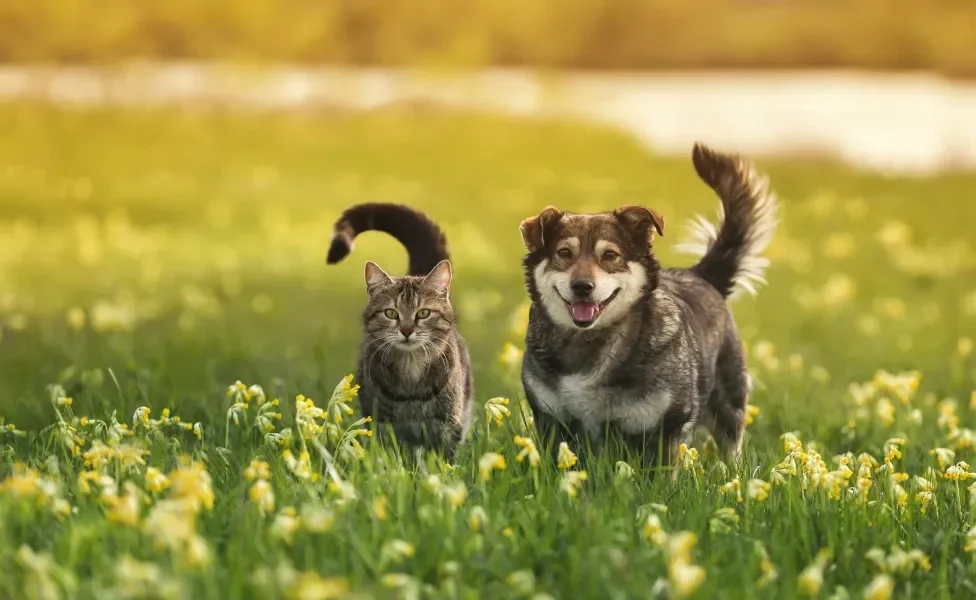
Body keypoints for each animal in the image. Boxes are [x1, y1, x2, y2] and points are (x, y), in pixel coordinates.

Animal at [326, 204, 474, 462]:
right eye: (391, 313)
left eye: (423, 313)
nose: (406, 330)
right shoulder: (383, 422)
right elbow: (390, 457)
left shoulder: (448, 423)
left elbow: (444, 459)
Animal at [520, 142, 776, 468]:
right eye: (564, 253)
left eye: (610, 255)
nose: (582, 287)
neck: (589, 342)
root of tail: (701, 274)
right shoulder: (551, 420)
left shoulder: (665, 429)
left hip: (729, 405)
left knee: (731, 443)